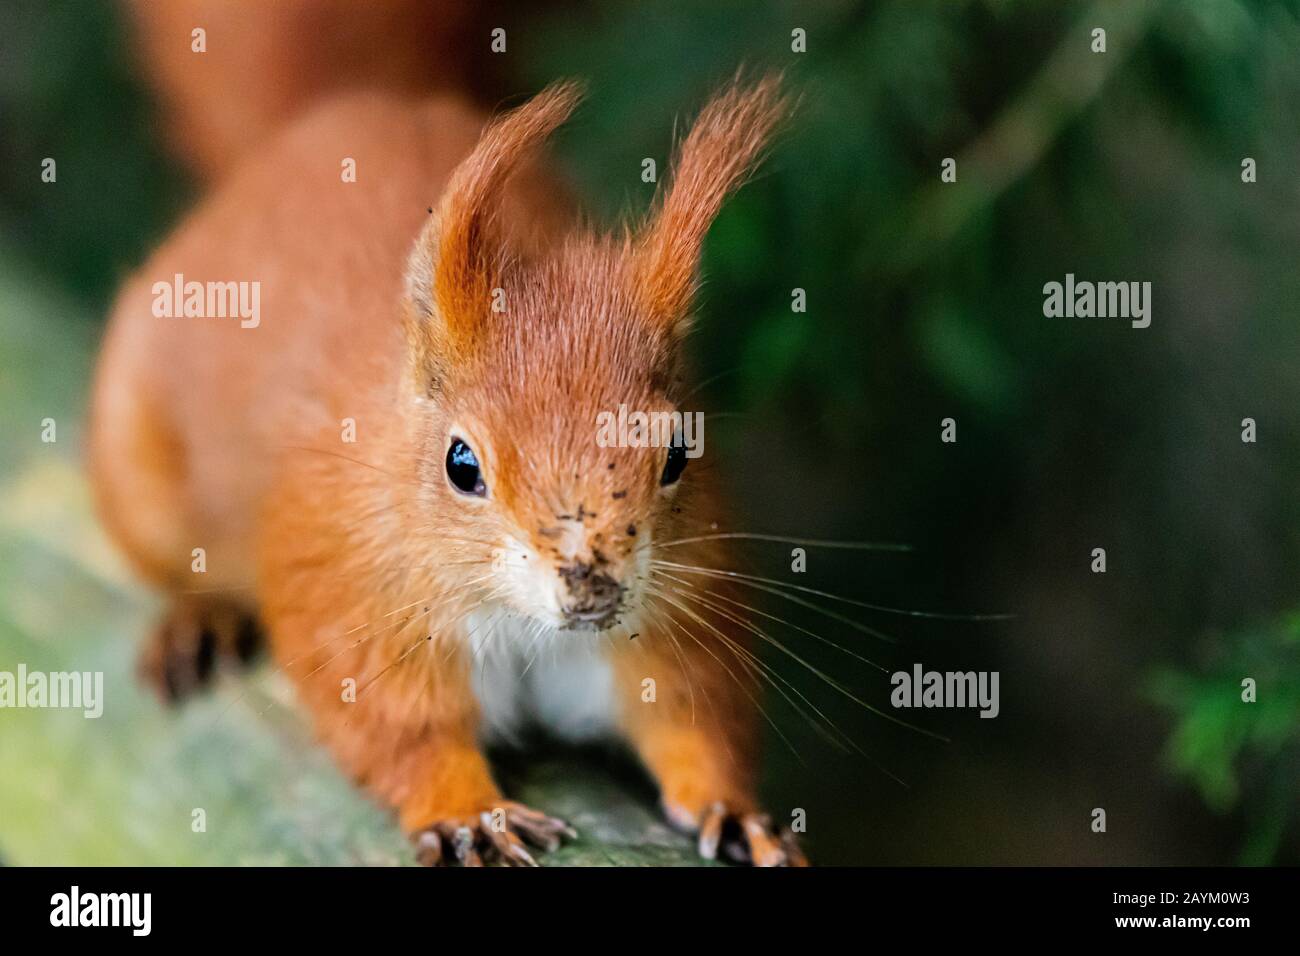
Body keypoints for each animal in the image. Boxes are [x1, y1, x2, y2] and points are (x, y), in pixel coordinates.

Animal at [89, 76, 800, 868]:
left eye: (679, 450)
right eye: (462, 464)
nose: (593, 586)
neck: (524, 623)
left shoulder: (678, 610)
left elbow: (689, 713)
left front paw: (733, 809)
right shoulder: (354, 600)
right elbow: (400, 732)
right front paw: (466, 813)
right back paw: (199, 619)